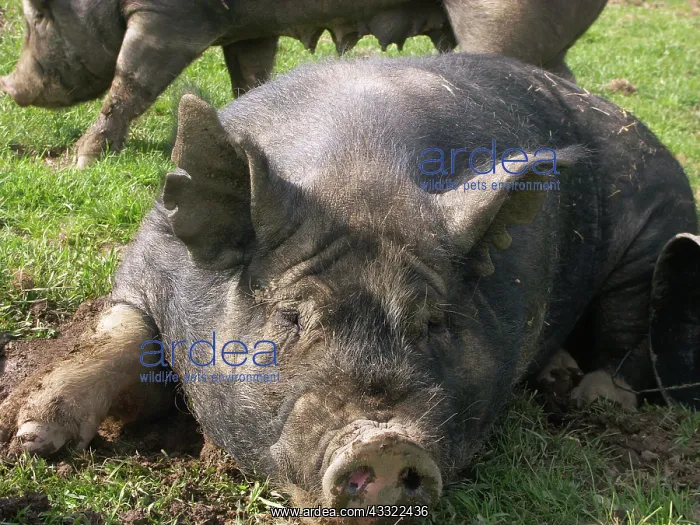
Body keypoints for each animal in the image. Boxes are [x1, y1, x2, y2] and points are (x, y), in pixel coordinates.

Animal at [0, 0, 608, 169]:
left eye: (37, 15)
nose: (10, 88)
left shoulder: (167, 20)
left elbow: (128, 84)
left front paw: (78, 163)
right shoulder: (247, 30)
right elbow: (249, 77)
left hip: (500, 22)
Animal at [0, 53, 697, 520]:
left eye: (433, 322)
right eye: (289, 317)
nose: (385, 441)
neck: (359, 172)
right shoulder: (141, 271)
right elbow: (118, 338)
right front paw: (33, 441)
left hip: (655, 233)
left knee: (629, 334)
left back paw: (594, 400)